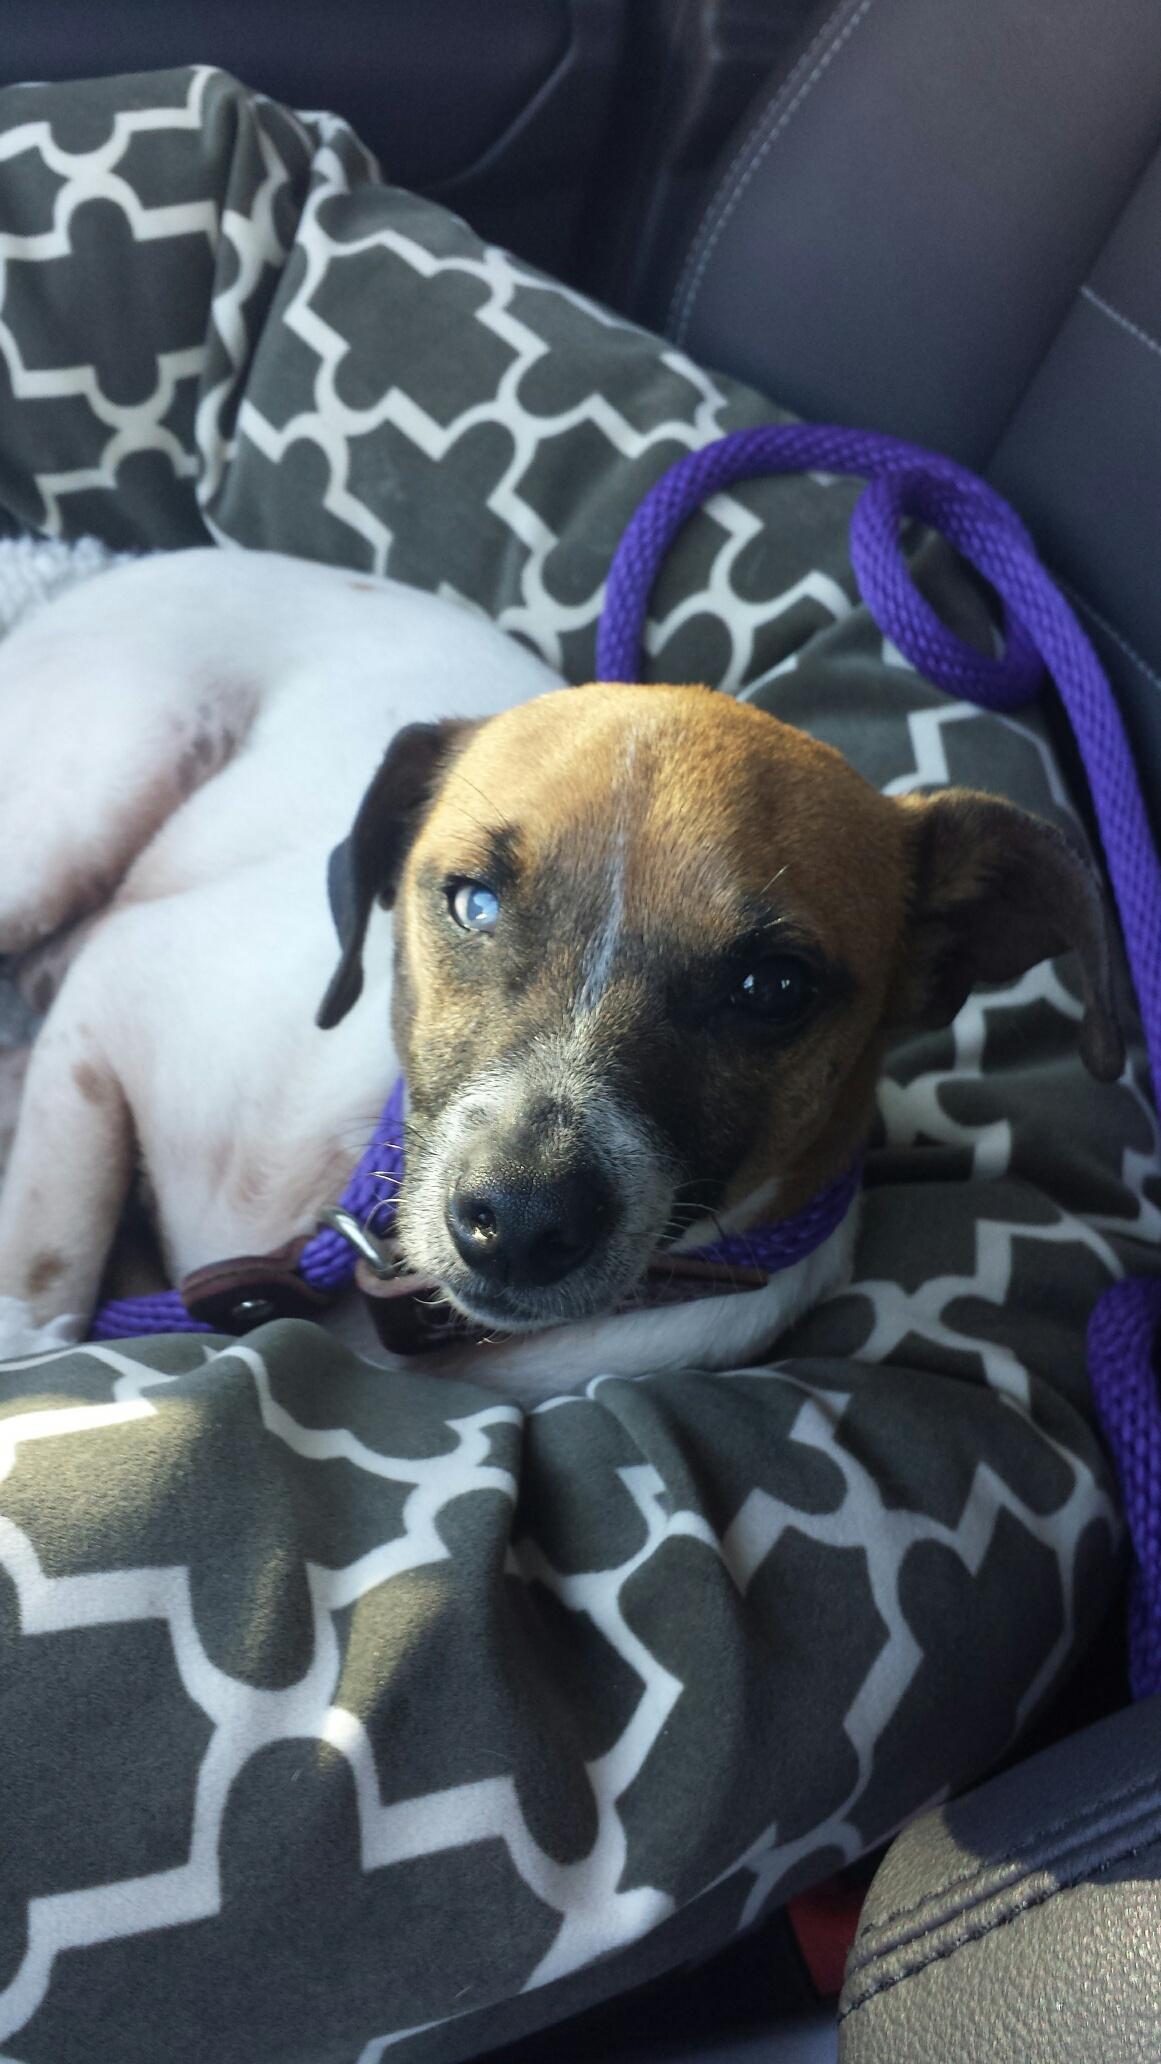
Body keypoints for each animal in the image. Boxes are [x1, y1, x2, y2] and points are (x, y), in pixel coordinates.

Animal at [0, 544, 1123, 1403]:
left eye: (774, 988)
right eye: (473, 903)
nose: (523, 1221)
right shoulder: (114, 1002)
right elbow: (45, 1271)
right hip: (75, 823)